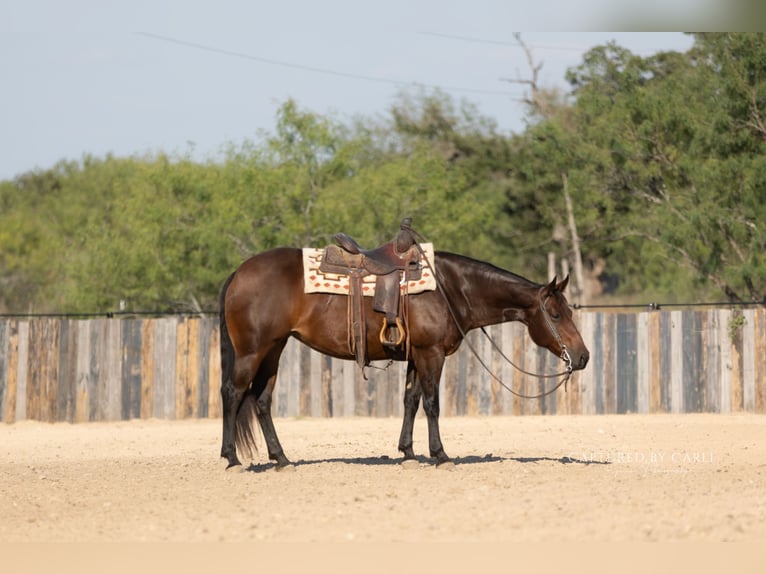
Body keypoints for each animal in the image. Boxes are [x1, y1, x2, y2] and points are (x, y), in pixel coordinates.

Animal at [219, 247, 590, 470]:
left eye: (570, 311)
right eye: (555, 315)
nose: (583, 356)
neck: (451, 289)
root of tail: (238, 273)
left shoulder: (416, 356)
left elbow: (410, 400)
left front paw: (408, 453)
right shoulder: (432, 354)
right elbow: (432, 404)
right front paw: (440, 455)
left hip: (274, 349)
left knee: (262, 401)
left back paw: (281, 458)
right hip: (252, 351)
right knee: (233, 394)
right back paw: (232, 458)